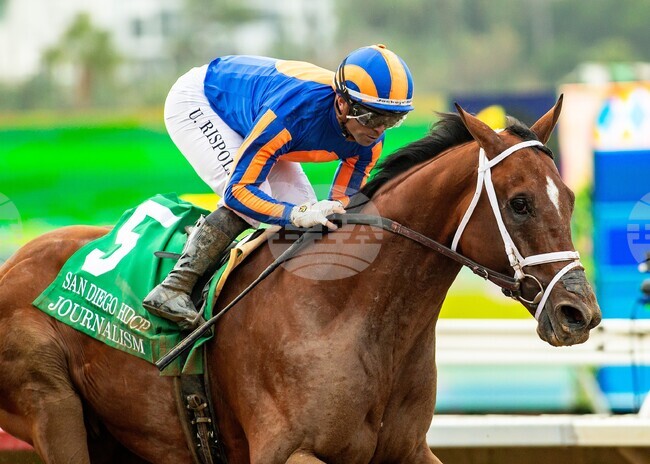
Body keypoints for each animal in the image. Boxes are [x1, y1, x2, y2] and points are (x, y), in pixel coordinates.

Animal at [0, 98, 601, 463]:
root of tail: (15, 262)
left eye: (572, 198)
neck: (350, 315)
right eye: (520, 203)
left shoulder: (408, 449)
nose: (579, 313)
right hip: (52, 407)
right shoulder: (284, 450)